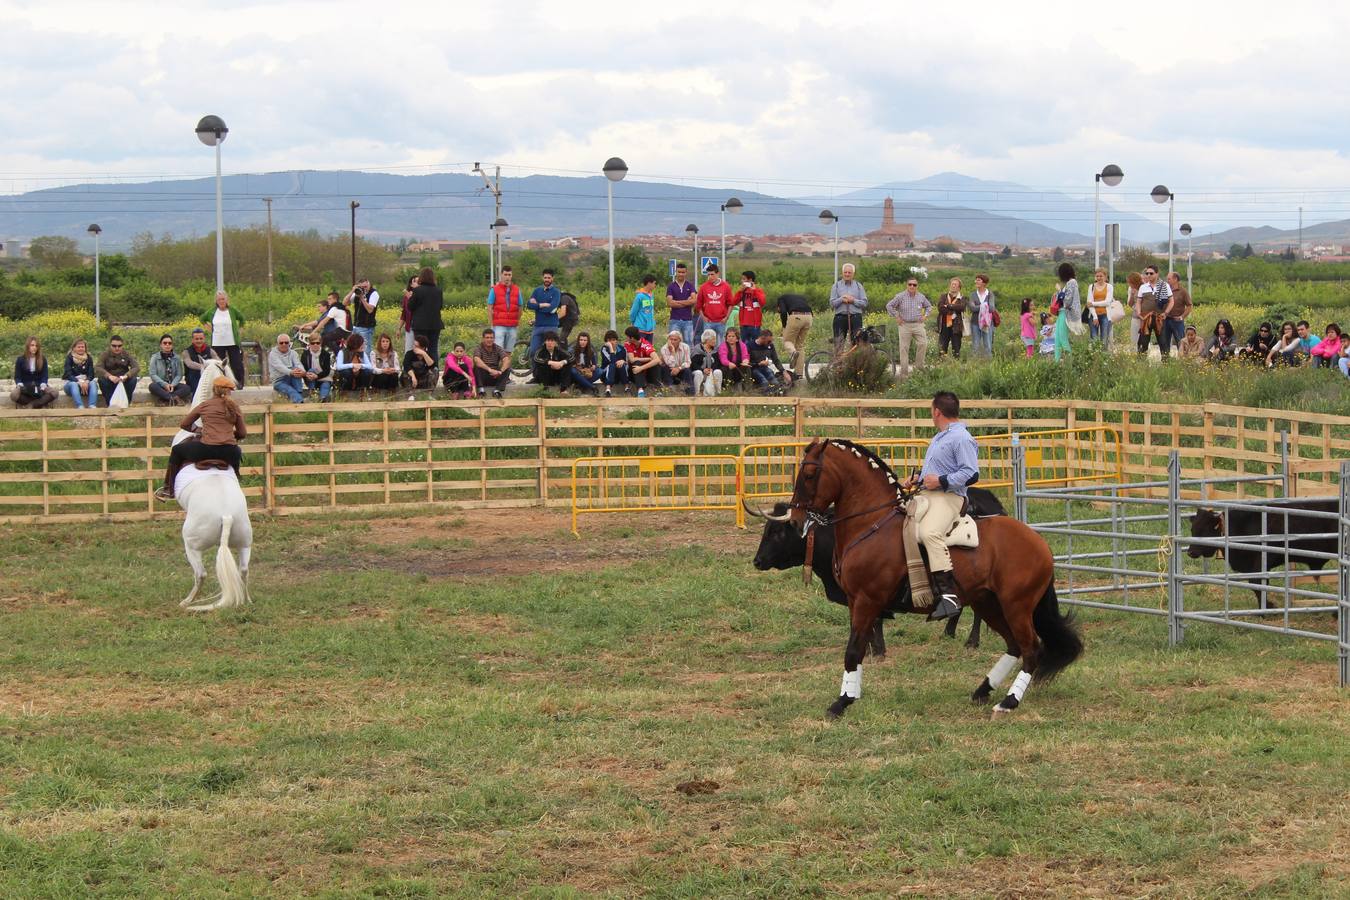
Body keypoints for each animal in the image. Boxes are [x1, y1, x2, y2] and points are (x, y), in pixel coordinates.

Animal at [172, 358, 252, 612]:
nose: (237, 384)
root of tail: (226, 515)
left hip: (192, 545)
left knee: (201, 574)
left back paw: (187, 602)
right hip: (245, 542)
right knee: (243, 570)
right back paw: (247, 599)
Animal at [750, 488, 1004, 650]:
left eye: (777, 532)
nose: (757, 561)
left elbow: (875, 620)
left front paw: (875, 648)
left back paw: (971, 641)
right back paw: (949, 632)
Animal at [1193, 496, 1339, 609]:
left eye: (1204, 530)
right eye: (1193, 530)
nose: (1190, 551)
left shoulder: (1263, 560)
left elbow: (1258, 583)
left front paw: (1267, 608)